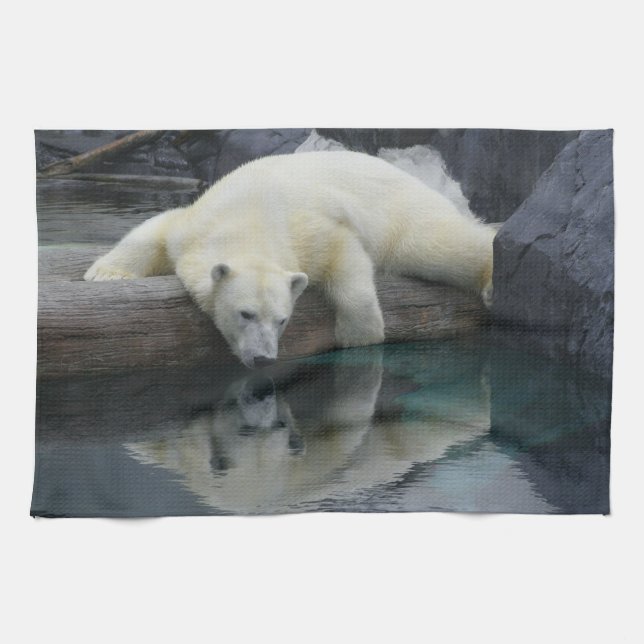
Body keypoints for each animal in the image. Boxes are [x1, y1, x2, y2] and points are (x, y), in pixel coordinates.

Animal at [85, 150, 496, 368]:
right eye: (246, 314)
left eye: (283, 320)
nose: (264, 358)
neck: (247, 217)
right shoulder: (194, 225)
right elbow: (153, 230)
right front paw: (105, 274)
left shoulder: (307, 228)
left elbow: (343, 251)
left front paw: (360, 333)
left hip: (404, 214)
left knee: (437, 245)